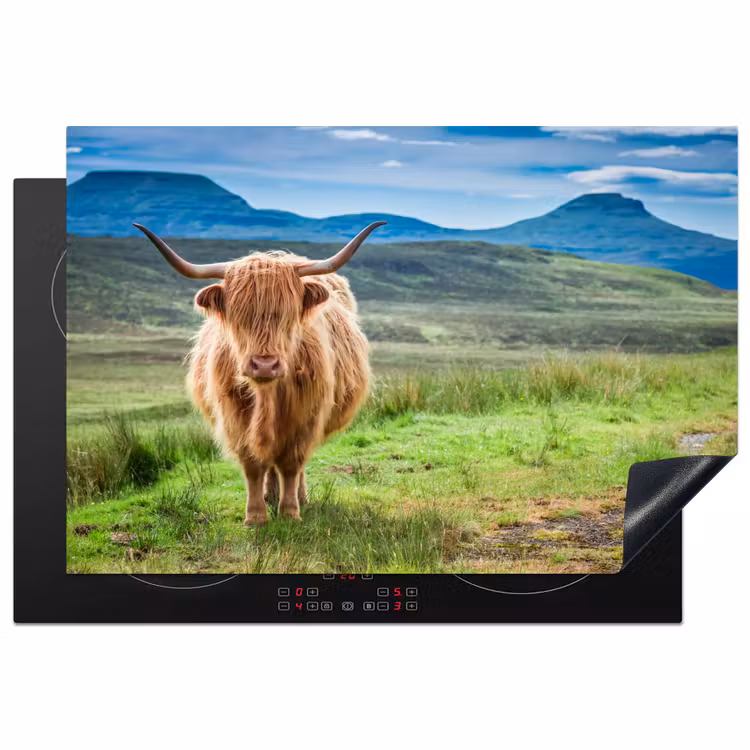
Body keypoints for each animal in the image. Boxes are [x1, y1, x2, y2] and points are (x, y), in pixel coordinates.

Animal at [133, 222, 385, 525]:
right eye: (239, 315)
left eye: (288, 315)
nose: (265, 365)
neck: (267, 395)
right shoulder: (235, 416)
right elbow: (253, 464)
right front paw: (255, 516)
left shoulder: (306, 416)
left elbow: (291, 464)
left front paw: (290, 512)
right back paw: (270, 495)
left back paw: (297, 497)